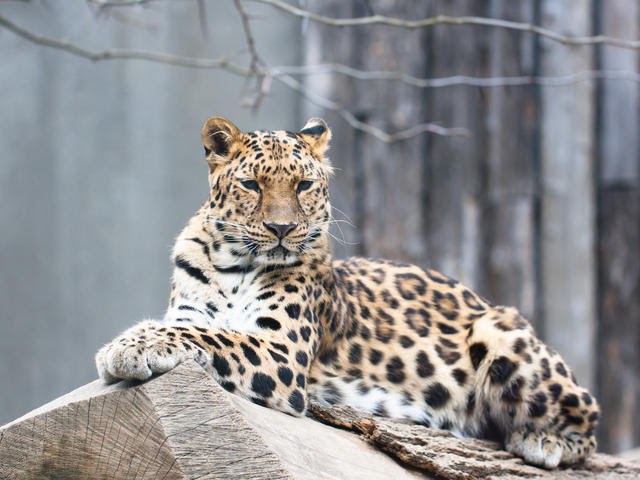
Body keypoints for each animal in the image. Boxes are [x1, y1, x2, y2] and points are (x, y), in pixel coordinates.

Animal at [96, 116, 599, 469]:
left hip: (501, 331)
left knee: (589, 419)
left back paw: (543, 440)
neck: (233, 264)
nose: (282, 229)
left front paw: (127, 345)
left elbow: (214, 337)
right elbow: (194, 328)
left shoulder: (281, 351)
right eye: (252, 185)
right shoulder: (191, 313)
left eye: (303, 185)